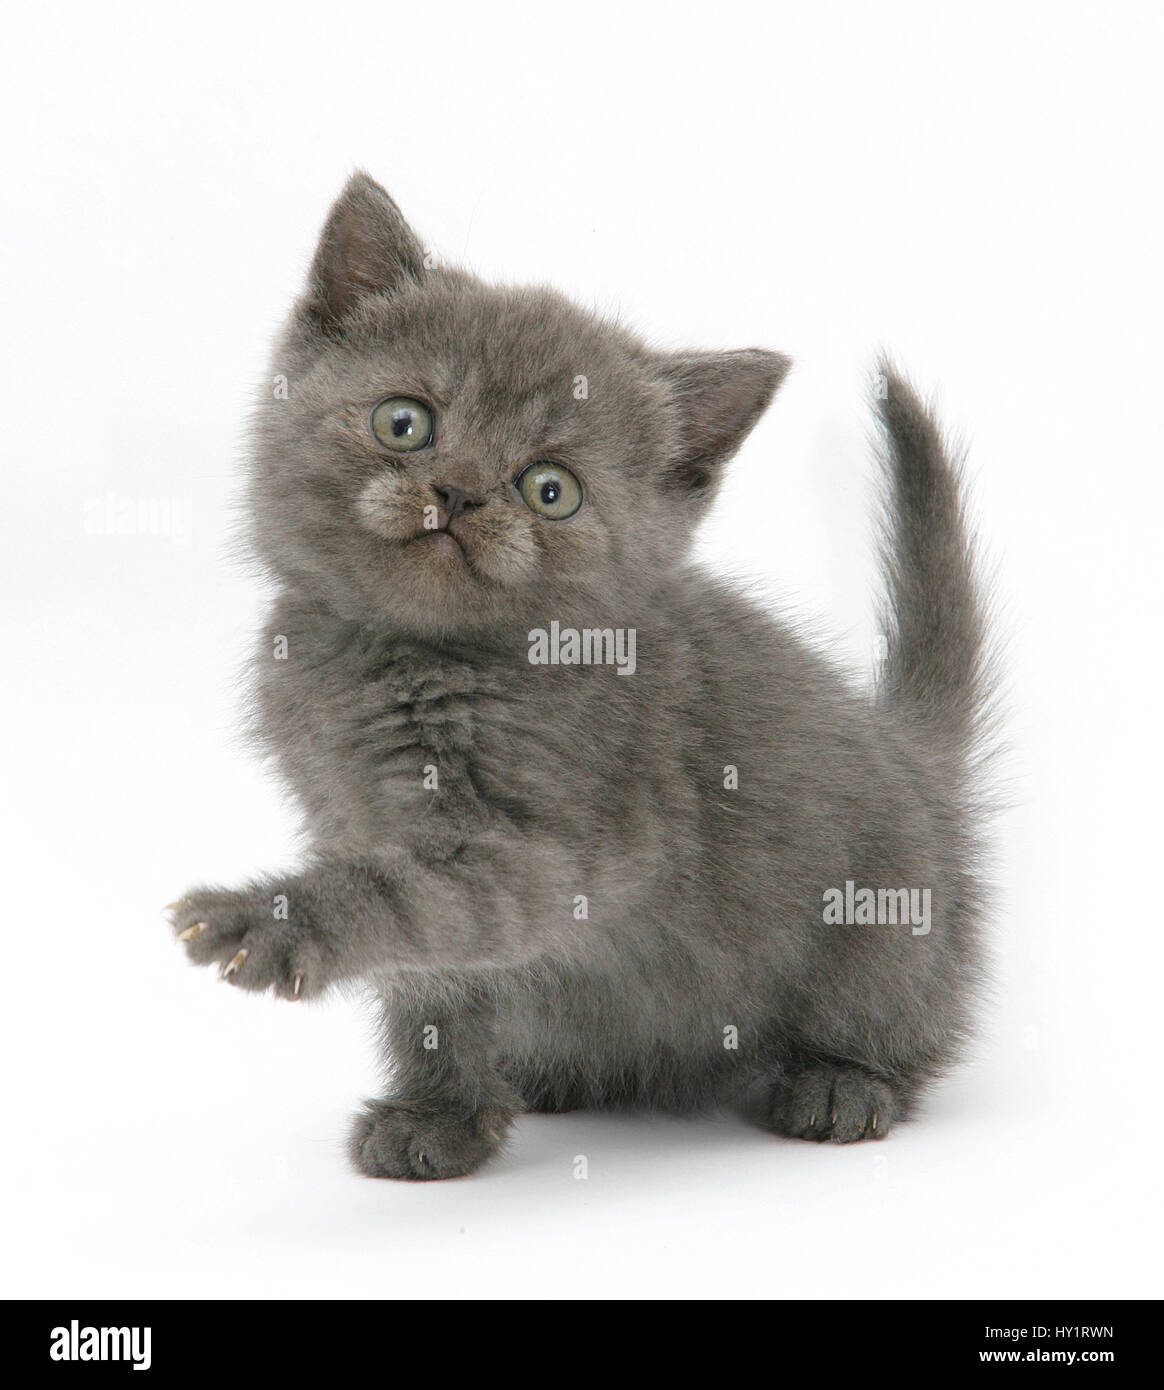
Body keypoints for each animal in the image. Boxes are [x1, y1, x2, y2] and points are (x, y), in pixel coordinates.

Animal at [170, 168, 990, 1178]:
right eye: (405, 422)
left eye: (549, 489)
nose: (458, 492)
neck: (408, 657)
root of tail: (911, 754)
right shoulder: (346, 811)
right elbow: (431, 989)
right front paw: (440, 1116)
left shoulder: (551, 848)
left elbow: (409, 903)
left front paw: (267, 922)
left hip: (886, 915)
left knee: (904, 1021)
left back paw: (840, 1083)